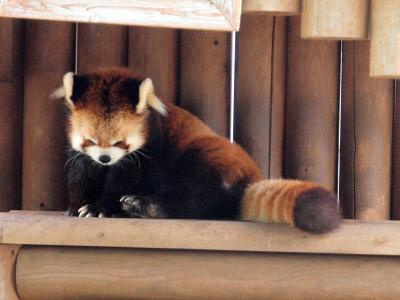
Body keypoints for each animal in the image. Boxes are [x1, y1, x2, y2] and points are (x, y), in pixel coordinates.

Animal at [54, 68, 342, 234]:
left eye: (119, 143)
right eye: (90, 140)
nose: (105, 159)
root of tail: (250, 179)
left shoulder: (150, 151)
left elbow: (126, 179)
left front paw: (100, 207)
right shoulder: (83, 156)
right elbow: (82, 174)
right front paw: (77, 205)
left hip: (206, 158)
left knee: (196, 193)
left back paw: (147, 207)